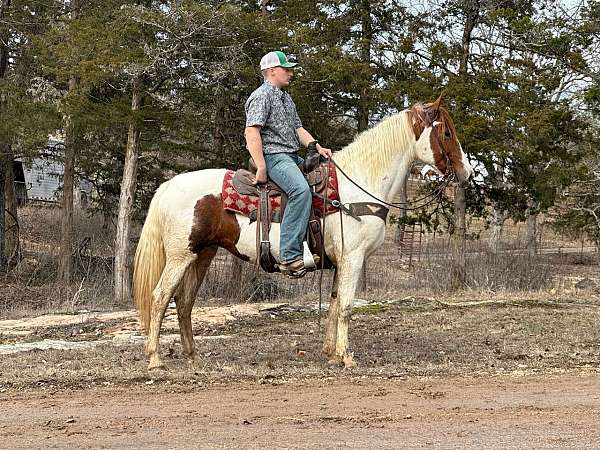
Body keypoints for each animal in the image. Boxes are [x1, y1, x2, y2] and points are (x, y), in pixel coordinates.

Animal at [132, 95, 474, 370]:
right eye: (446, 132)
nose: (467, 173)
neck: (355, 188)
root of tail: (169, 185)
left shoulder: (339, 262)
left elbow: (334, 306)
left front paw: (332, 354)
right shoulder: (353, 259)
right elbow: (347, 307)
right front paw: (348, 358)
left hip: (203, 254)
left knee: (184, 302)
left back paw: (193, 356)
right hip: (180, 256)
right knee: (160, 297)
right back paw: (154, 359)